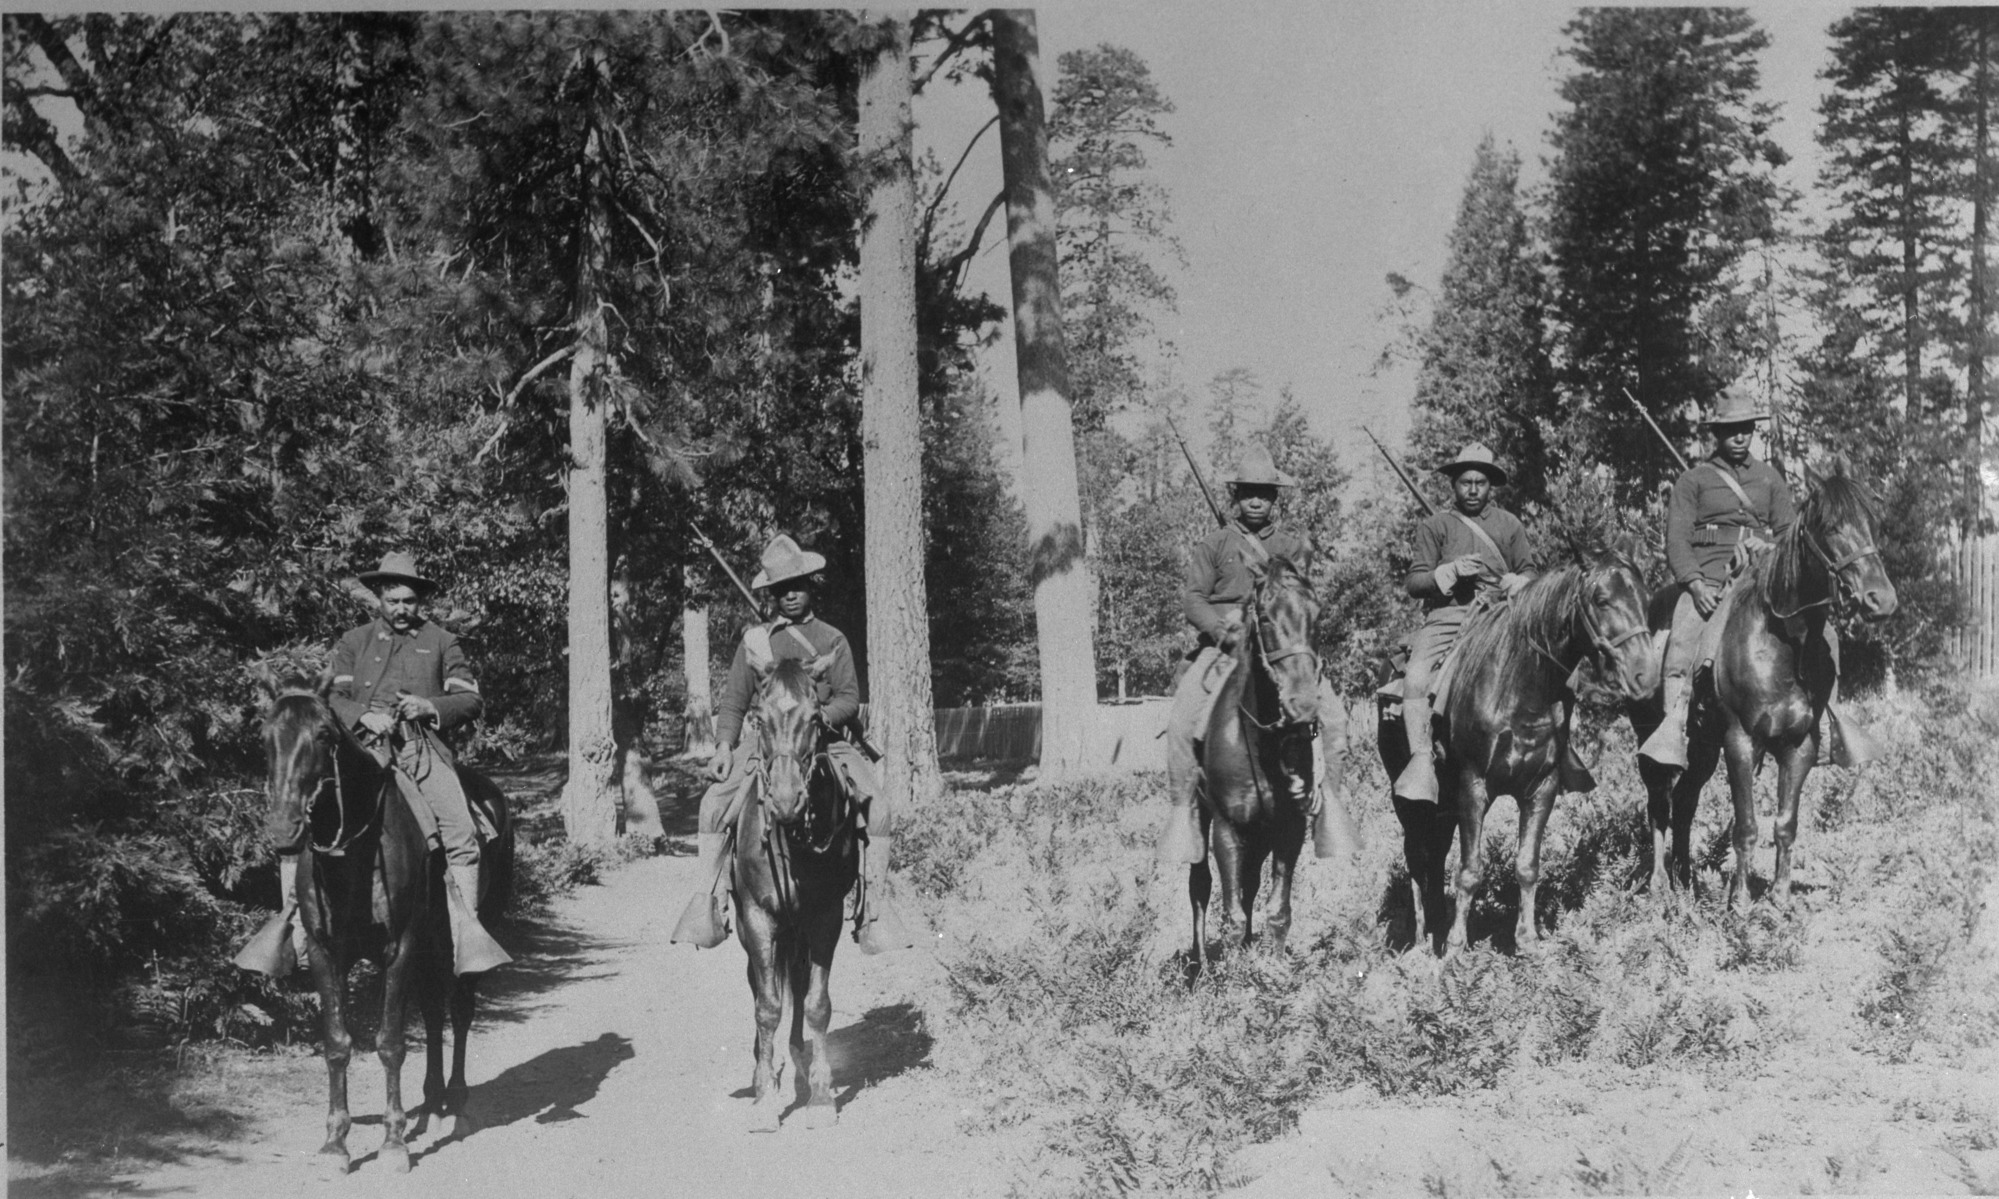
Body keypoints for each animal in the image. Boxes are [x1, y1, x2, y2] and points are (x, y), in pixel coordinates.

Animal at [257, 679, 511, 1175]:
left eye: (323, 736)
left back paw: (457, 1106)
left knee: (459, 1012)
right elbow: (337, 1044)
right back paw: (432, 1104)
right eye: (265, 738)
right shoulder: (326, 953)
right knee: (432, 1013)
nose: (283, 829)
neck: (354, 854)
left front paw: (393, 1144)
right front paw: (336, 1143)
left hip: (463, 939)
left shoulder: (400, 947)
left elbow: (390, 1042)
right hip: (430, 948)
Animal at [735, 655, 859, 1135]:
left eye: (814, 719)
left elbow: (816, 1004)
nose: (786, 801)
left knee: (801, 985)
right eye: (759, 719)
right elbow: (766, 1006)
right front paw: (765, 1097)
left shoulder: (824, 917)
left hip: (799, 934)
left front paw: (822, 1096)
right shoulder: (757, 918)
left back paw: (799, 1065)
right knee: (759, 987)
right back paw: (763, 1071)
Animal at [1183, 551, 1327, 975]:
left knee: (1248, 887)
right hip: (1201, 819)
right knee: (1200, 886)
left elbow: (1277, 911)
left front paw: (1273, 973)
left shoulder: (1289, 828)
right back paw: (1200, 969)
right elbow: (1230, 915)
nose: (1303, 705)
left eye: (1318, 614)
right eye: (1264, 617)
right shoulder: (1227, 829)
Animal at [1375, 539, 1655, 959]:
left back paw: (1437, 924)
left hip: (1444, 806)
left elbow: (1527, 865)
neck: (1521, 688)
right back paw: (1423, 939)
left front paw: (1527, 941)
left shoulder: (1542, 788)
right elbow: (1470, 871)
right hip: (1410, 803)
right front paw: (1455, 948)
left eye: (1644, 597)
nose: (1645, 675)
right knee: (1418, 857)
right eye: (1602, 599)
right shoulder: (1473, 787)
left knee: (1434, 856)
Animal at [1623, 463, 1887, 903]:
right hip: (1656, 741)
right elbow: (1746, 826)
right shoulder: (1740, 741)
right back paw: (1660, 882)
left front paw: (1779, 899)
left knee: (1685, 801)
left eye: (1873, 522)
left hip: (1703, 749)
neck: (1781, 644)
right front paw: (1741, 901)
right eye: (1831, 526)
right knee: (1659, 801)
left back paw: (1686, 879)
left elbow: (1785, 824)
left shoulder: (1800, 745)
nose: (1880, 599)